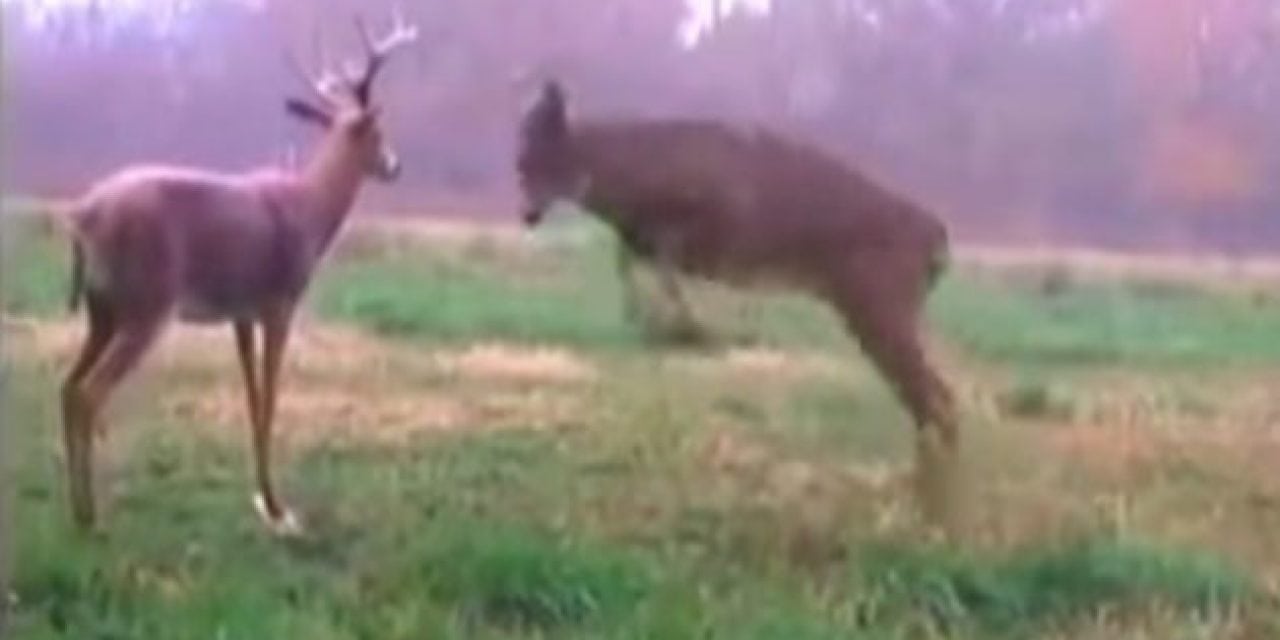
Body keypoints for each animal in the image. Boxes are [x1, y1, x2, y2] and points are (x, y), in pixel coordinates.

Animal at [57, 13, 417, 535]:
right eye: (376, 132)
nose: (395, 165)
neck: (309, 210)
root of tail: (82, 217)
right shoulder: (278, 302)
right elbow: (269, 398)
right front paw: (280, 509)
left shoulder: (240, 313)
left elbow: (251, 400)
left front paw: (264, 500)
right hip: (146, 303)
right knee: (88, 393)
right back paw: (91, 518)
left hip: (101, 310)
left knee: (67, 388)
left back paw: (78, 510)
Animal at [512, 80, 962, 529]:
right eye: (520, 161)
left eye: (543, 157)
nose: (527, 214)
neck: (630, 174)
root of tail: (936, 239)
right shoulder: (645, 239)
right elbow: (629, 263)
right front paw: (658, 323)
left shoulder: (707, 224)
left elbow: (663, 267)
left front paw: (689, 328)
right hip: (867, 308)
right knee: (929, 400)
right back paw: (923, 505)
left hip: (879, 302)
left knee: (936, 399)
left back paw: (932, 510)